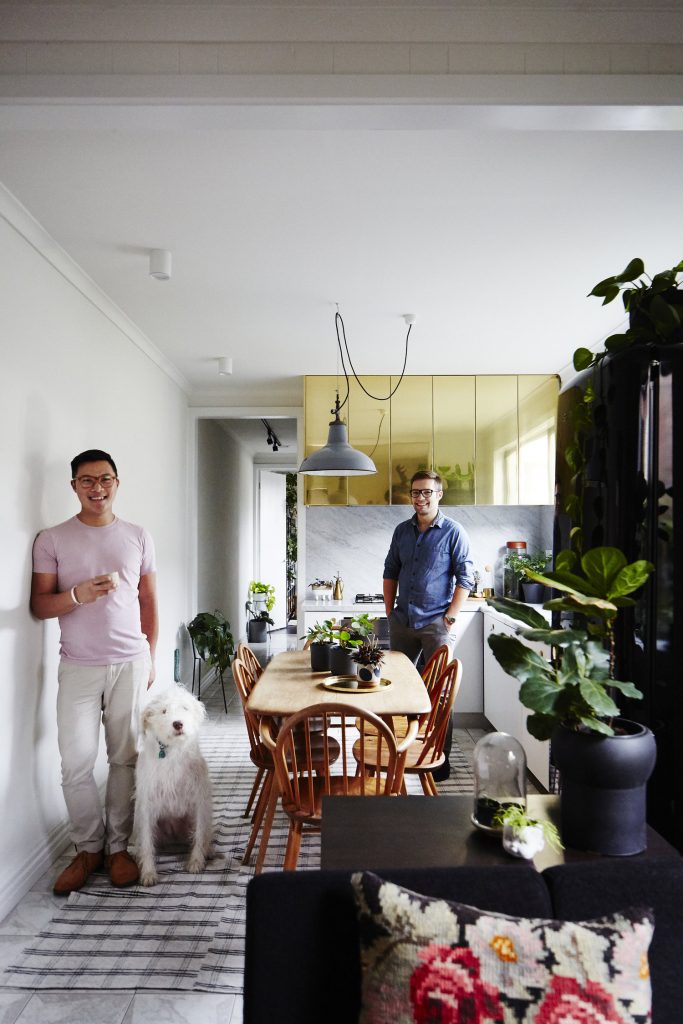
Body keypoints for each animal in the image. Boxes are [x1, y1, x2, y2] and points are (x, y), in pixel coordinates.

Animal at [134, 684, 214, 884]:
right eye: (163, 711)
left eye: (185, 708)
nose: (178, 723)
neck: (172, 751)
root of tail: (174, 839)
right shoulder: (146, 804)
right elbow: (146, 842)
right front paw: (148, 873)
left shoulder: (198, 800)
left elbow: (199, 834)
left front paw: (195, 862)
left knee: (203, 834)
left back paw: (207, 851)